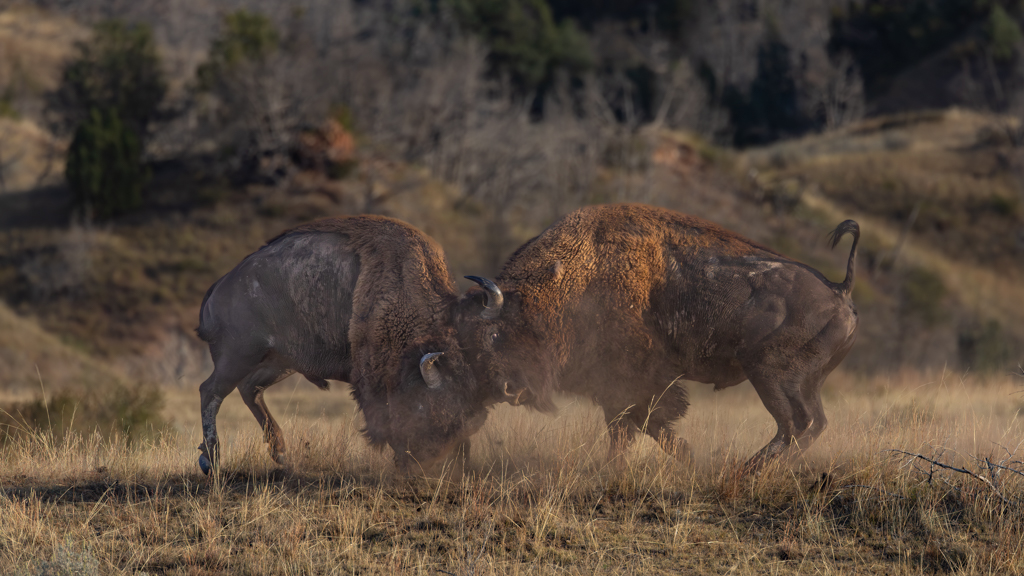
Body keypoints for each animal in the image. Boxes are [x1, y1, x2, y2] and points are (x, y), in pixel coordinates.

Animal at [200, 214, 491, 471]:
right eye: (430, 409)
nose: (423, 462)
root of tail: (219, 286)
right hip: (239, 357)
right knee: (211, 391)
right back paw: (212, 461)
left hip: (280, 362)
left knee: (251, 390)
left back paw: (281, 455)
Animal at [454, 201, 856, 467]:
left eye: (498, 333)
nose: (509, 390)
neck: (571, 278)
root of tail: (838, 290)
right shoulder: (615, 386)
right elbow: (635, 426)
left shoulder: (631, 381)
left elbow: (639, 423)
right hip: (804, 381)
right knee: (812, 423)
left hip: (770, 375)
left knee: (795, 423)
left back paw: (748, 470)